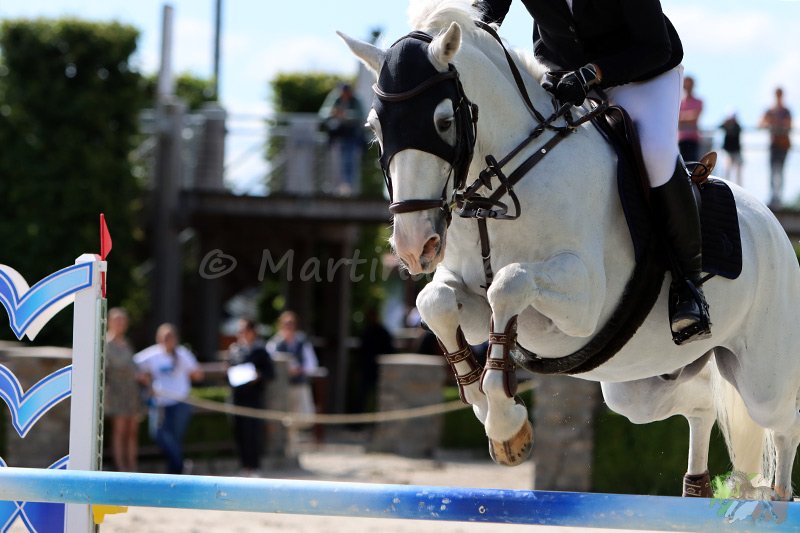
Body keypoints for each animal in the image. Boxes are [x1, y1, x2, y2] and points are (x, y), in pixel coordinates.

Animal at [338, 0, 800, 498]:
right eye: (374, 127)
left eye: (442, 122)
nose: (412, 246)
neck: (504, 185)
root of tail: (775, 228)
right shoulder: (469, 297)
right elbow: (435, 300)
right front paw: (485, 405)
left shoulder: (584, 302)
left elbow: (509, 282)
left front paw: (506, 424)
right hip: (637, 383)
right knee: (701, 405)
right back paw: (697, 485)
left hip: (763, 379)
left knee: (783, 425)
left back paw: (776, 496)